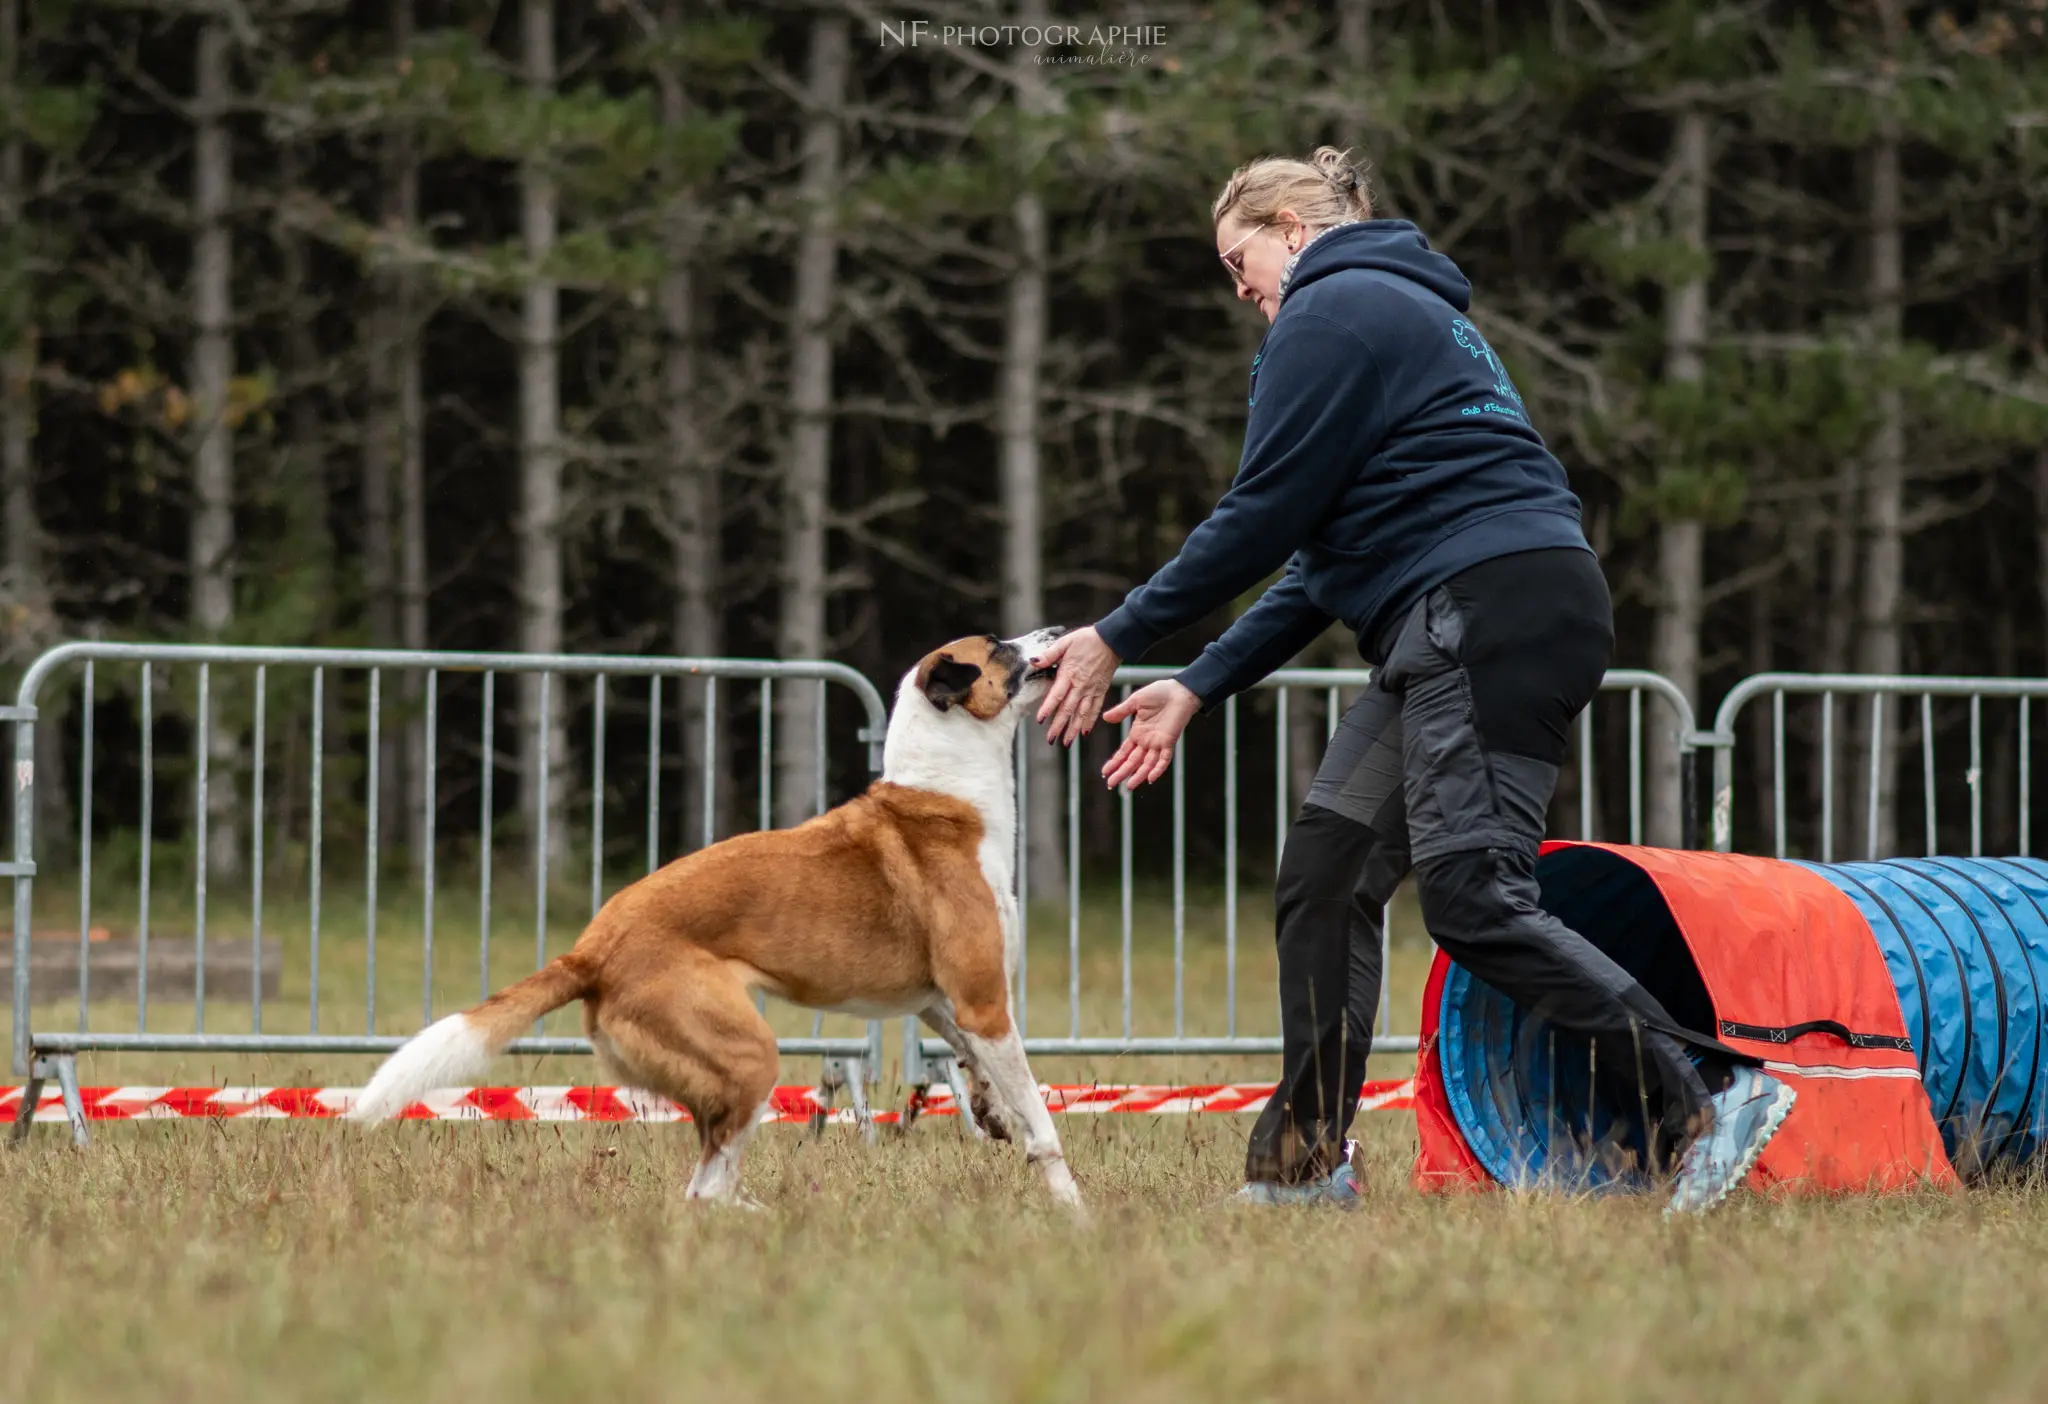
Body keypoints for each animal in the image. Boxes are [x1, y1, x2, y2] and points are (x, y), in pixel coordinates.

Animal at [344, 634, 1081, 1211]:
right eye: (999, 646)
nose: (1055, 630)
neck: (944, 797)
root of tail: (591, 951)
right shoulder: (984, 1003)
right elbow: (1043, 1124)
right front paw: (1072, 1213)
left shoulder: (947, 1004)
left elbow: (987, 1076)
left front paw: (991, 1113)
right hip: (750, 1058)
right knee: (705, 1190)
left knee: (709, 1189)